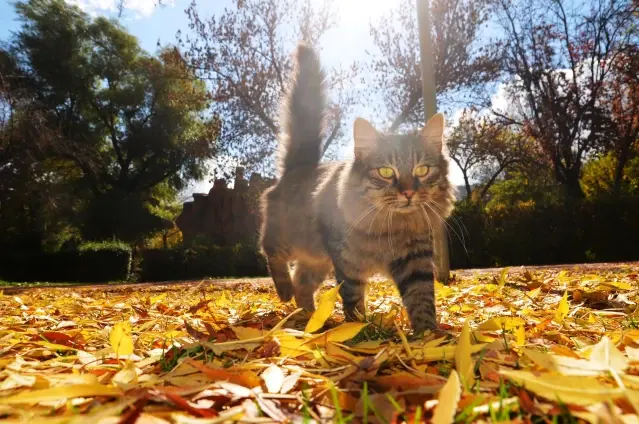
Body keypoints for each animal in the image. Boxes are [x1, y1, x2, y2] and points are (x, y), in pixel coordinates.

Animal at [258, 43, 458, 334]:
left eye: (422, 170)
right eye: (386, 172)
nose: (408, 193)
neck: (389, 226)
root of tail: (301, 166)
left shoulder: (415, 259)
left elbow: (422, 299)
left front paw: (428, 335)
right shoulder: (347, 264)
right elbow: (353, 300)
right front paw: (357, 330)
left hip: (317, 260)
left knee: (302, 285)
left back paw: (311, 320)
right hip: (288, 239)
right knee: (271, 254)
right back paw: (287, 295)